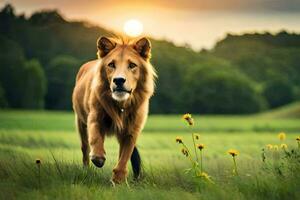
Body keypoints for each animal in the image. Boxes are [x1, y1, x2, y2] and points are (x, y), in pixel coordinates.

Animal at [72, 35, 156, 184]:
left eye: (132, 65)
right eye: (111, 65)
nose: (119, 80)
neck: (121, 105)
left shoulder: (131, 130)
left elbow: (124, 157)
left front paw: (118, 180)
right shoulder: (94, 117)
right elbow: (95, 138)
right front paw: (98, 158)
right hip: (80, 122)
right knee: (85, 148)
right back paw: (86, 169)